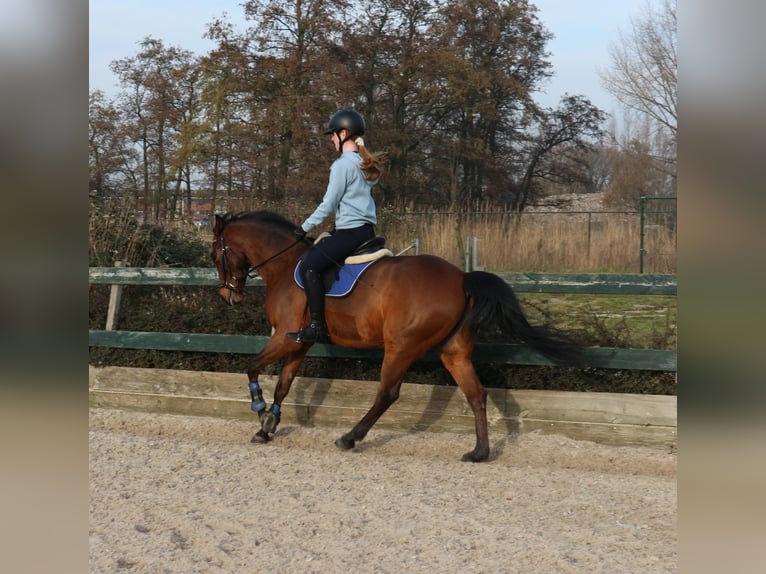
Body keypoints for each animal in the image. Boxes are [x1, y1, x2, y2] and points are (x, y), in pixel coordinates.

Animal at [210, 212, 584, 464]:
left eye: (216, 255)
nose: (229, 296)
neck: (286, 264)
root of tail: (462, 278)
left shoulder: (287, 339)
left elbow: (252, 367)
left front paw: (259, 410)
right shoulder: (299, 342)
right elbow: (284, 385)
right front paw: (267, 425)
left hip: (401, 346)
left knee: (387, 393)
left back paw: (350, 438)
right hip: (453, 350)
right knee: (476, 394)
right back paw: (479, 451)